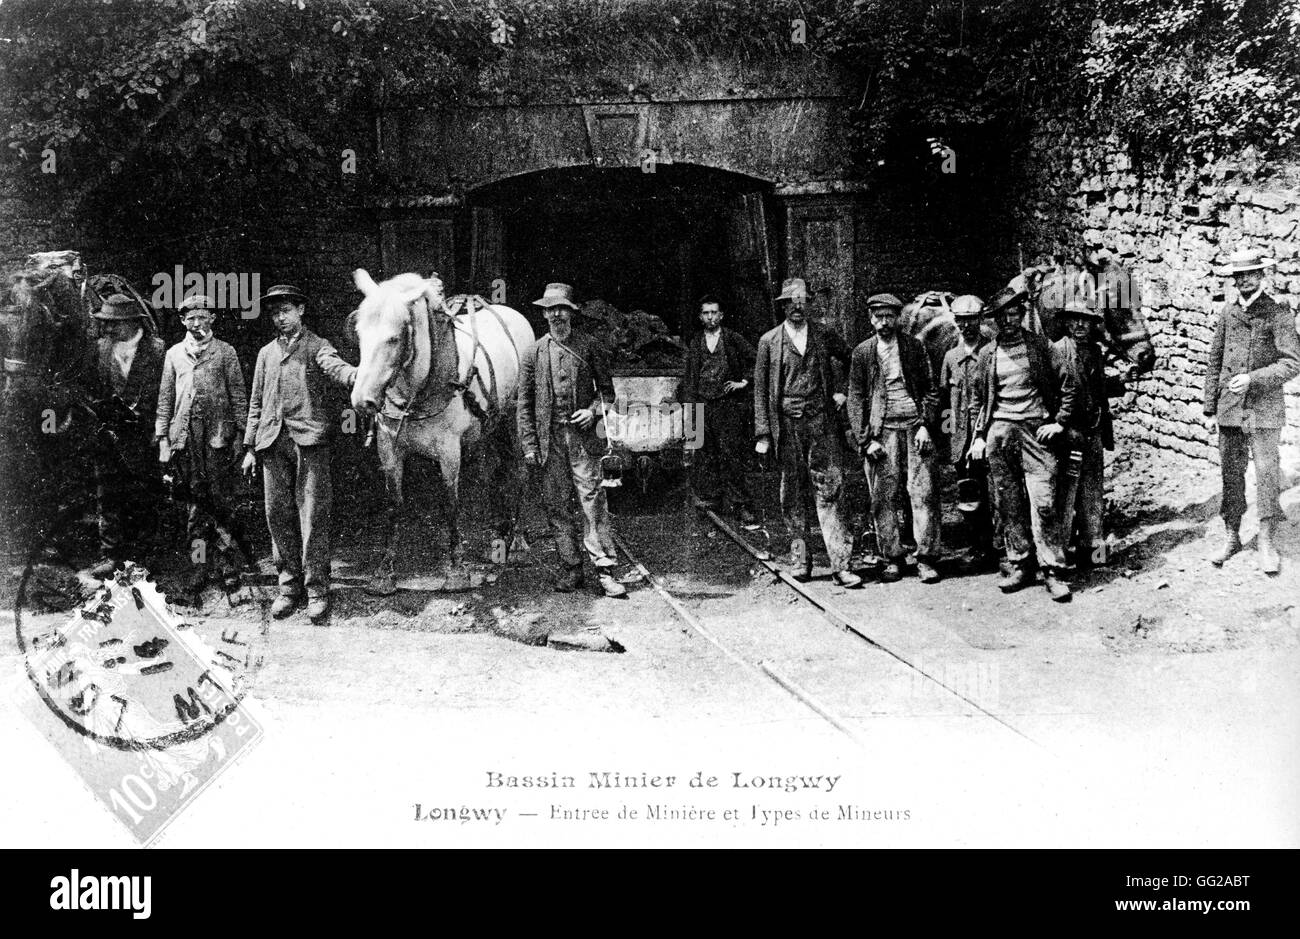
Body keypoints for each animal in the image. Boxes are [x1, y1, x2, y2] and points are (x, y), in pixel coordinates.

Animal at [348, 269, 535, 593]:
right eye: (359, 334)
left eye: (394, 338)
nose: (362, 401)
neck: (420, 390)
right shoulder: (389, 449)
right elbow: (394, 504)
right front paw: (384, 573)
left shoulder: (449, 452)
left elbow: (450, 505)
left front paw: (457, 571)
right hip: (487, 428)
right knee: (491, 473)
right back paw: (496, 539)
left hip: (514, 421)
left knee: (519, 471)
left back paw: (518, 544)